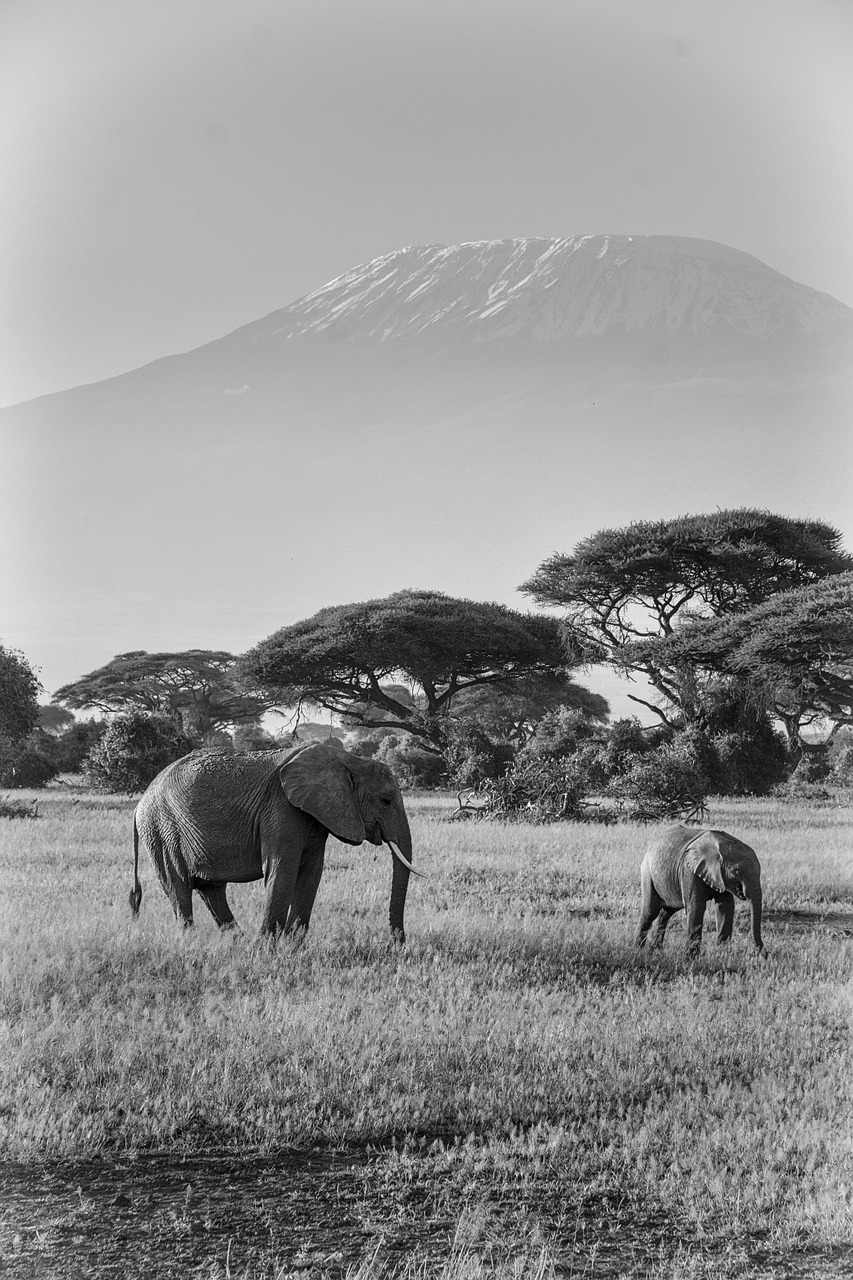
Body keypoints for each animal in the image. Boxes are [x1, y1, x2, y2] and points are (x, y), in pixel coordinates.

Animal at [129, 742, 417, 942]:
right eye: (386, 801)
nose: (397, 942)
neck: (347, 760)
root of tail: (140, 803)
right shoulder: (281, 810)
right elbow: (283, 871)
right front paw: (267, 949)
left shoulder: (315, 816)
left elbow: (311, 875)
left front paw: (293, 946)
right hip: (162, 830)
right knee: (178, 886)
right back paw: (192, 942)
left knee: (211, 890)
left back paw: (236, 941)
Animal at [630, 824, 763, 957]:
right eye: (738, 872)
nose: (761, 952)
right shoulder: (689, 870)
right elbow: (696, 907)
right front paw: (691, 957)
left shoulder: (721, 877)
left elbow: (725, 908)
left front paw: (722, 954)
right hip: (647, 872)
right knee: (650, 911)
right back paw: (638, 950)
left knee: (666, 912)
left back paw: (656, 950)